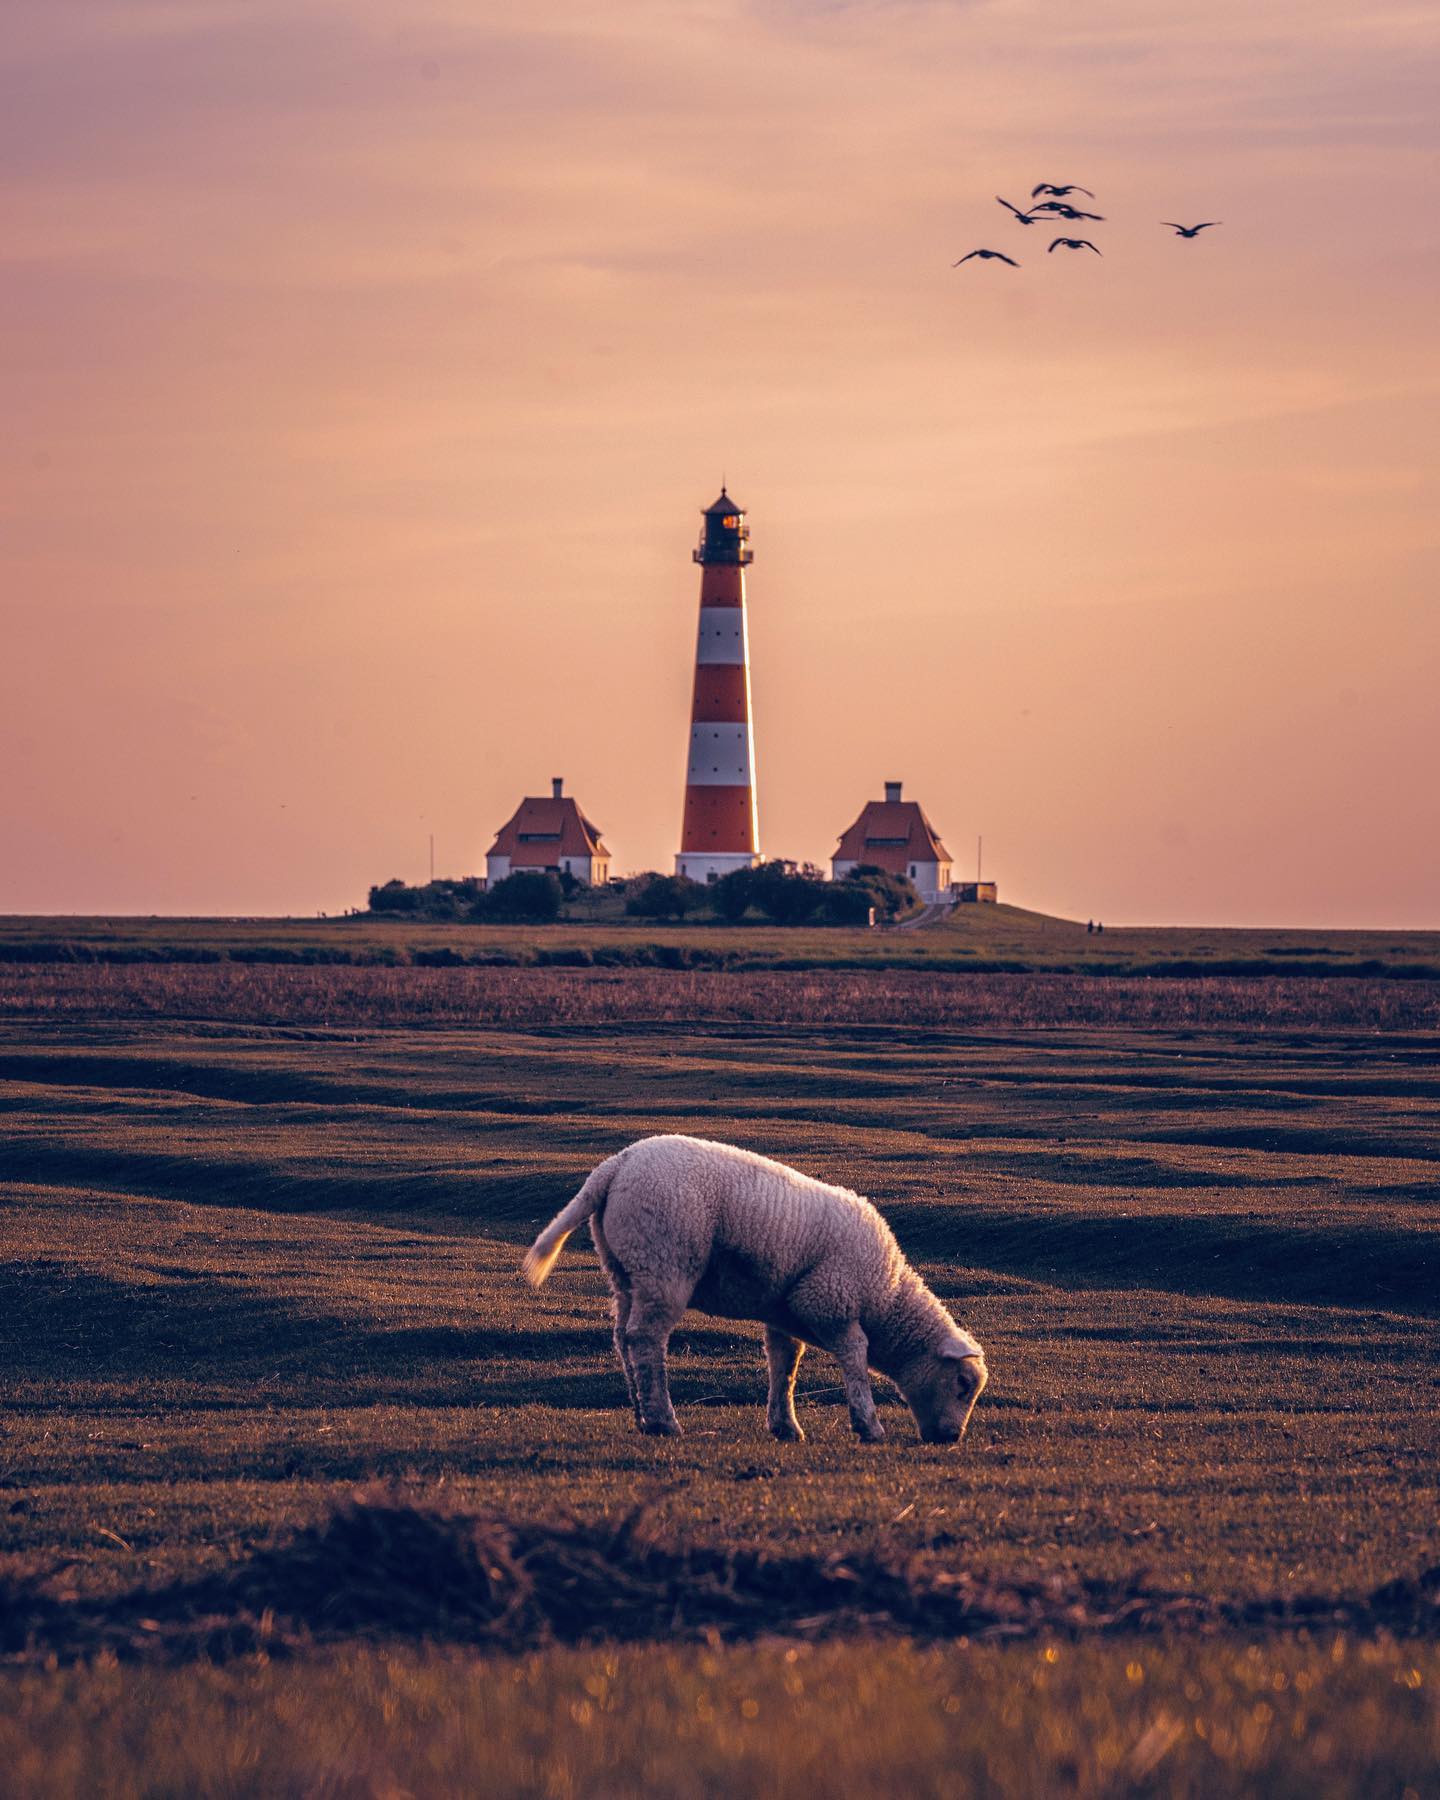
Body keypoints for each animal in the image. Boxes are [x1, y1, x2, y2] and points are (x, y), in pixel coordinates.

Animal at [522, 1137, 986, 1447]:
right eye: (963, 1383)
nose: (951, 1439)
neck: (887, 1300)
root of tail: (614, 1166)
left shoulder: (786, 1313)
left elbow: (785, 1364)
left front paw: (785, 1426)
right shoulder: (832, 1303)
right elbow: (855, 1360)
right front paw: (868, 1425)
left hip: (624, 1267)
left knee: (622, 1337)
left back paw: (640, 1414)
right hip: (663, 1262)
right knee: (645, 1340)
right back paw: (662, 1420)